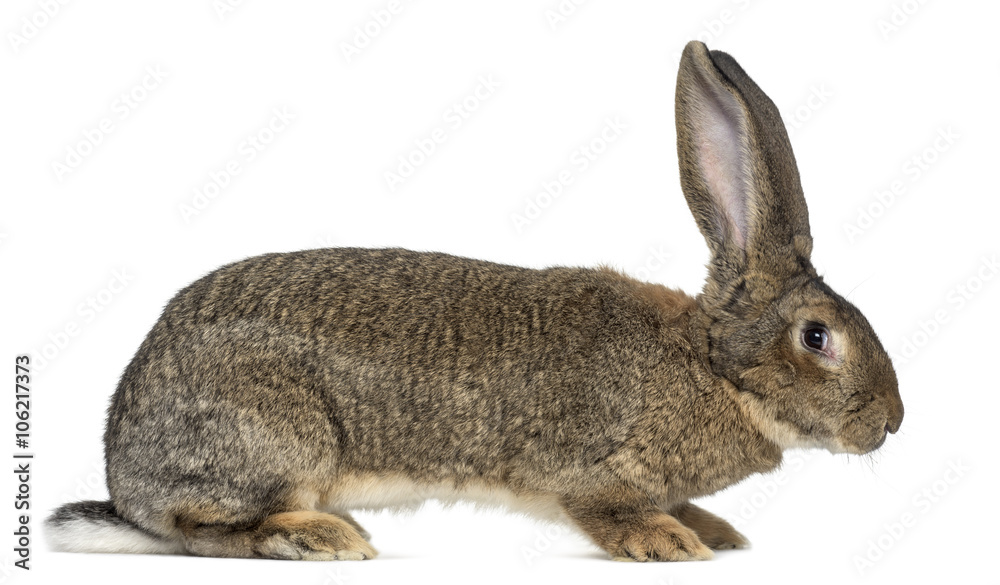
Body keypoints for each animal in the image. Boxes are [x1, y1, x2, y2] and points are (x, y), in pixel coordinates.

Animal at [45, 40, 903, 562]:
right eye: (817, 337)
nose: (891, 422)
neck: (713, 367)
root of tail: (126, 477)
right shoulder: (592, 473)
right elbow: (608, 511)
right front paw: (668, 543)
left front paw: (715, 533)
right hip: (274, 438)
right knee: (200, 528)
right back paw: (319, 537)